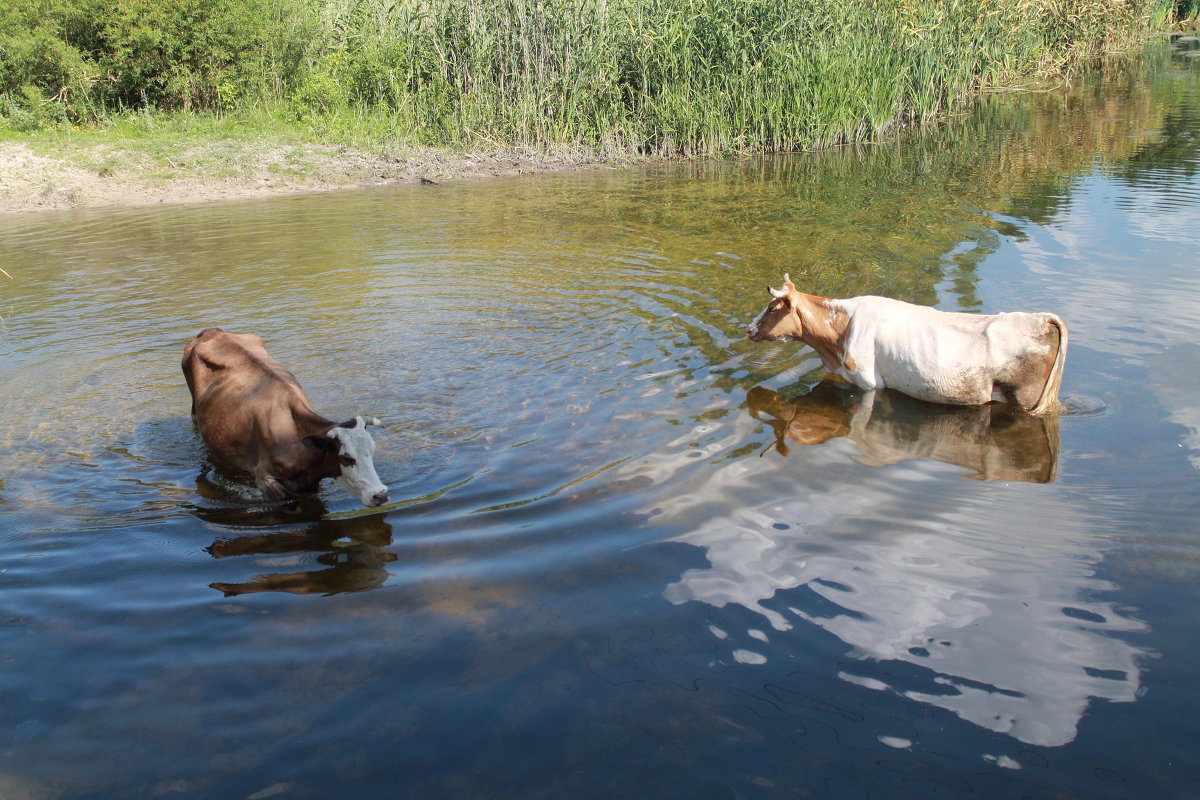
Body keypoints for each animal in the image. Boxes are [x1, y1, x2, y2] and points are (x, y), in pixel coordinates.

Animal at [182, 326, 388, 506]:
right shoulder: (265, 480)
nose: (381, 495)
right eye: (346, 458)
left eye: (372, 451)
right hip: (195, 414)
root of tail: (212, 331)